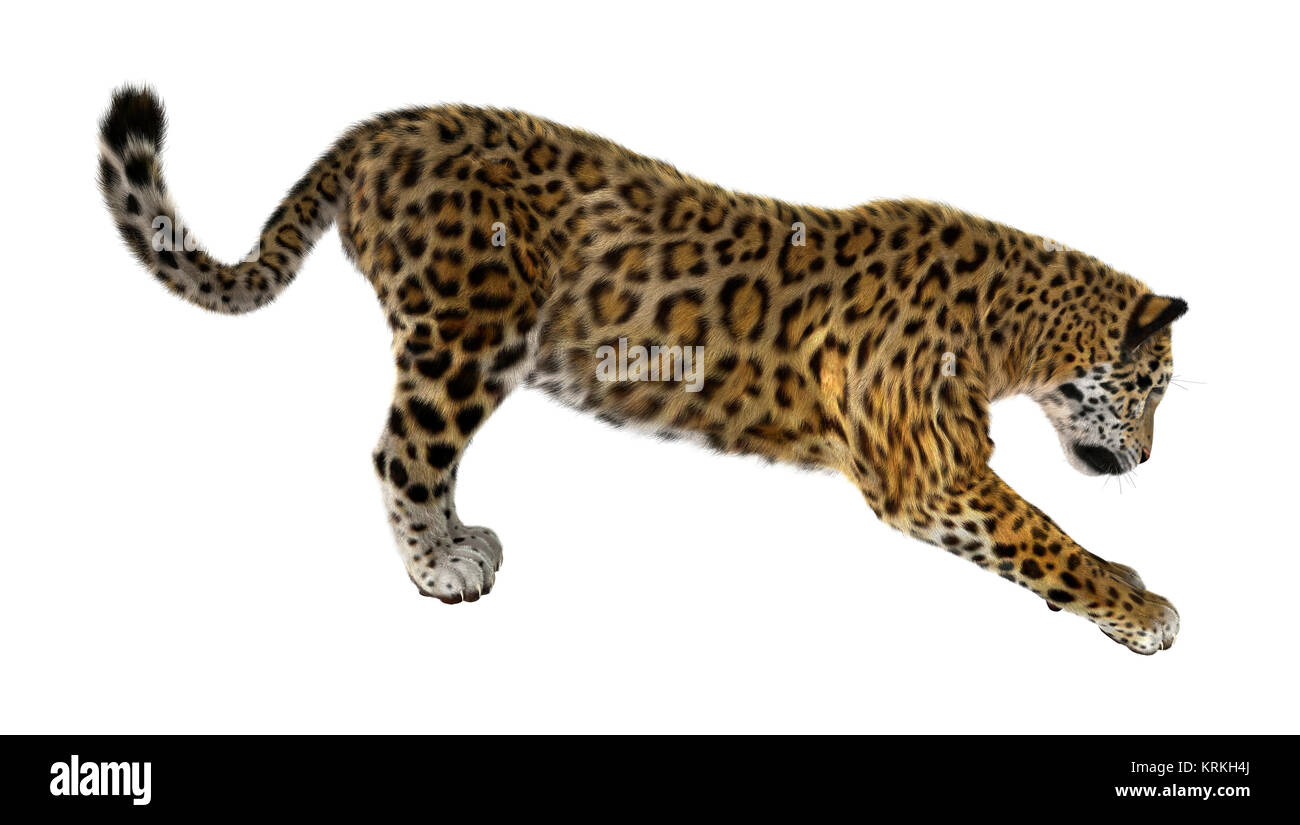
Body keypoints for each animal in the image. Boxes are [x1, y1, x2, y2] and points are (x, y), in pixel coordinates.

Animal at [98, 86, 1189, 655]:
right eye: (1157, 391)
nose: (1143, 460)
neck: (1019, 330)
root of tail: (384, 124)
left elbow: (1042, 536)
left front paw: (1126, 589)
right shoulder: (926, 470)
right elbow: (1042, 537)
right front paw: (1141, 610)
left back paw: (461, 541)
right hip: (467, 335)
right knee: (401, 453)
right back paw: (438, 569)